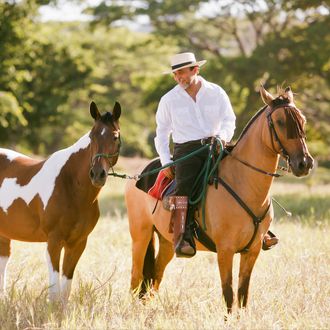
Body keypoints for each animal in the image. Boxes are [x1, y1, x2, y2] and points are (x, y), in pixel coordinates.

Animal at [0, 101, 120, 302]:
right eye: (92, 136)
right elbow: (55, 289)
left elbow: (65, 287)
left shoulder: (78, 243)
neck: (70, 184)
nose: (97, 174)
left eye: (115, 137)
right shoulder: (54, 241)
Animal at [125, 85, 314, 312]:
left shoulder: (252, 251)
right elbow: (229, 294)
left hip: (167, 242)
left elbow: (243, 294)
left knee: (156, 275)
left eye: (303, 120)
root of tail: (139, 173)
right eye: (279, 122)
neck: (243, 182)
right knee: (136, 277)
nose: (304, 163)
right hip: (141, 235)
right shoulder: (225, 250)